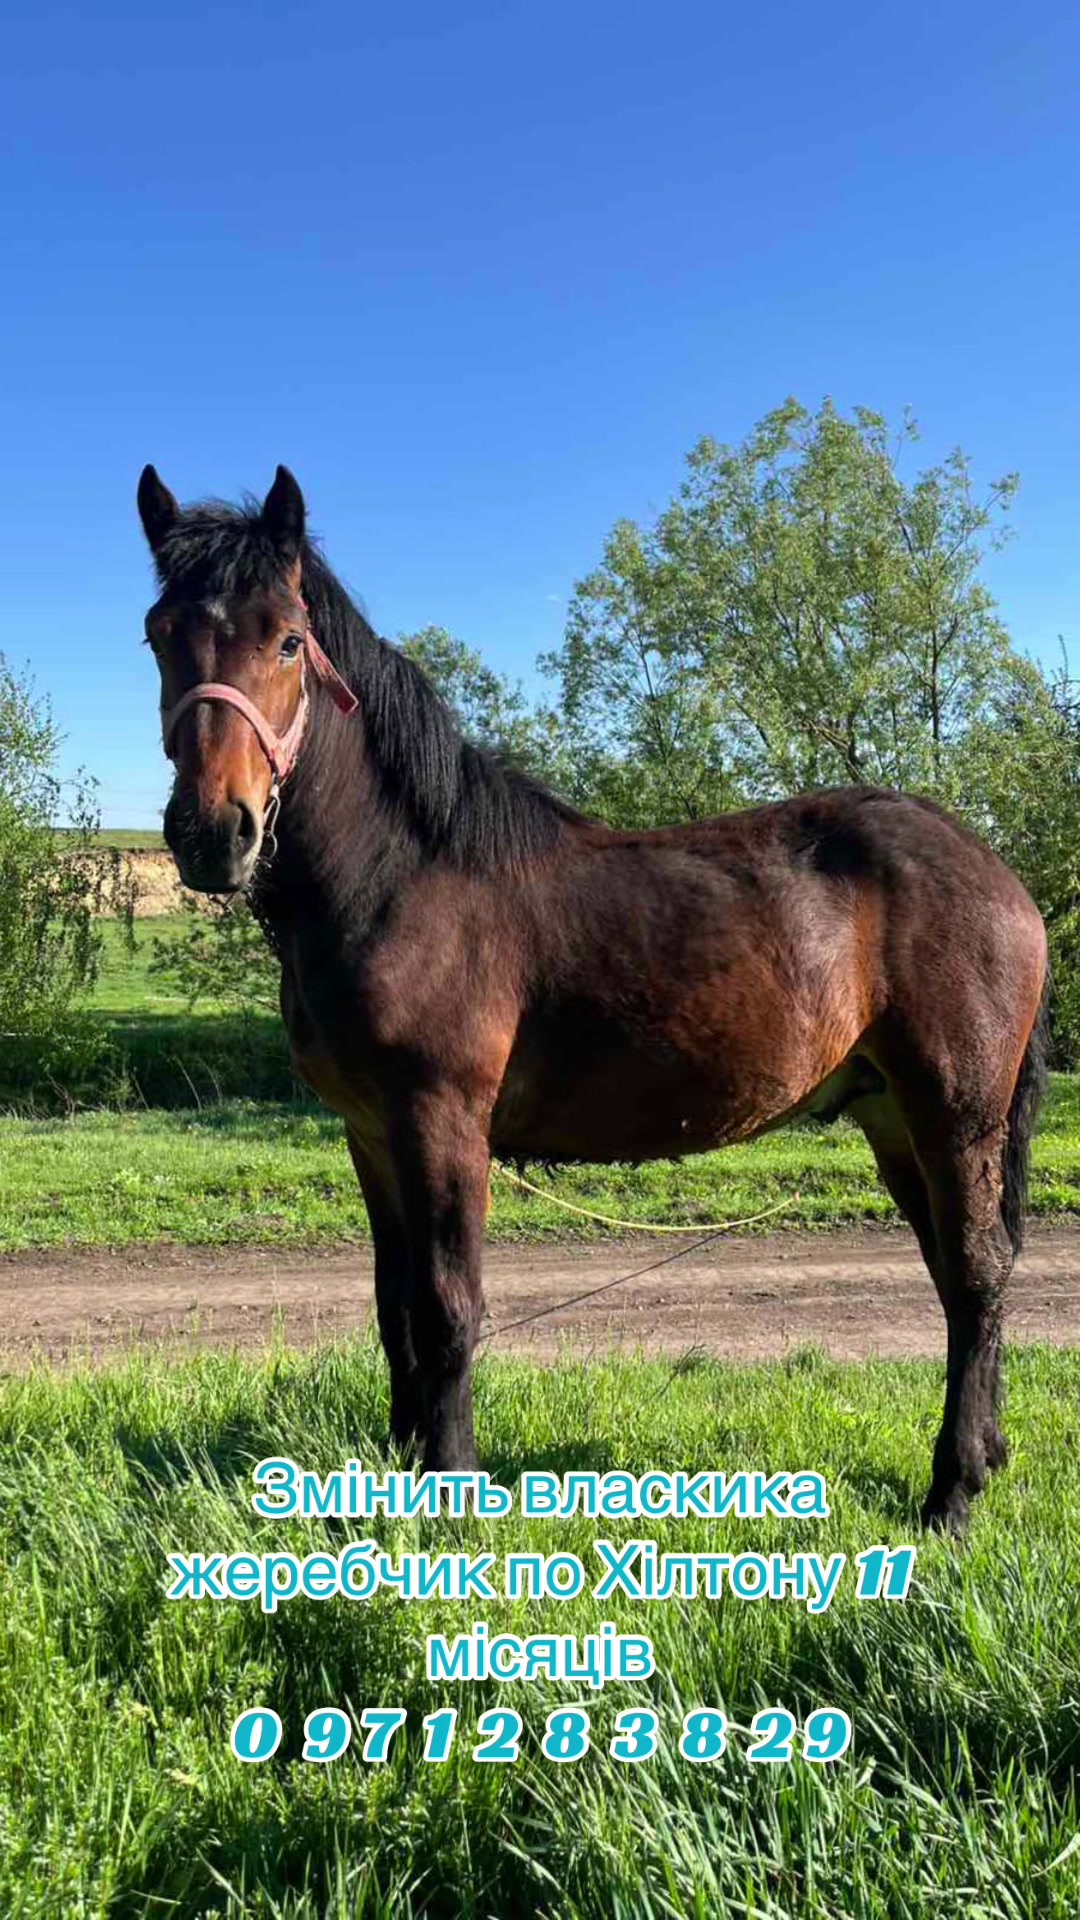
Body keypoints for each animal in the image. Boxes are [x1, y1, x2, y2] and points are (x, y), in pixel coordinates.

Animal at [137, 462, 1050, 1532]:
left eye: (285, 637)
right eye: (159, 634)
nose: (214, 832)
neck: (400, 876)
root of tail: (996, 872)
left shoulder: (441, 1122)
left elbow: (447, 1308)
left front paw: (450, 1490)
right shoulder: (369, 1133)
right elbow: (393, 1305)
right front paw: (398, 1469)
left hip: (956, 1112)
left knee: (979, 1276)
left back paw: (951, 1494)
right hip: (892, 1115)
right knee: (957, 1276)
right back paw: (983, 1458)